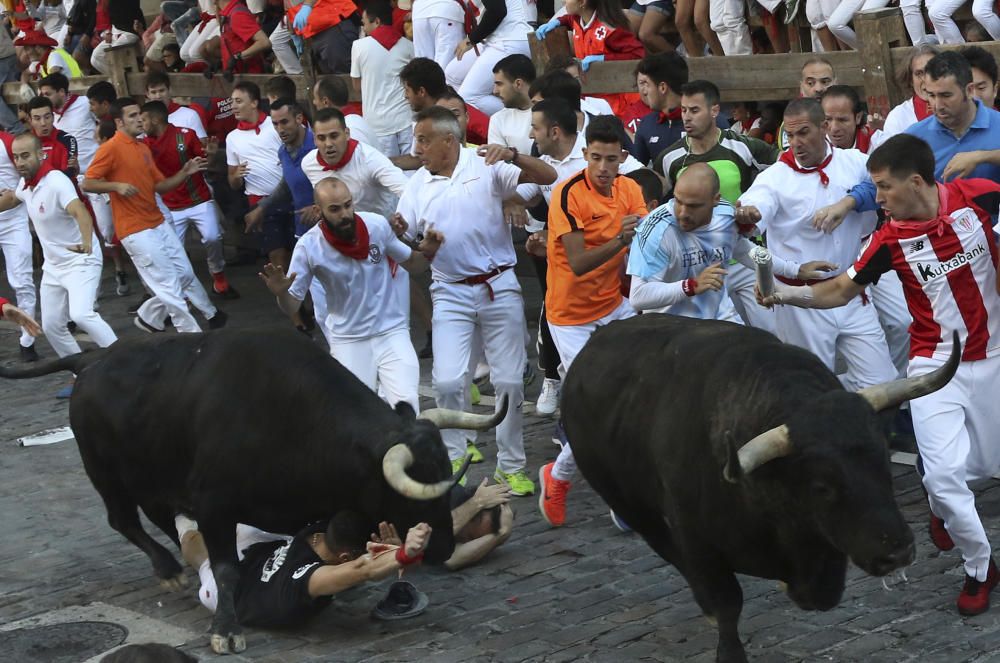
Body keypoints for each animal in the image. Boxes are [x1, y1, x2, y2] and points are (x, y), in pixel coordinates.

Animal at [0, 330, 508, 656]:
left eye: (444, 470)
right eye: (409, 493)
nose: (442, 546)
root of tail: (90, 362)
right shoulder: (215, 504)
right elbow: (226, 568)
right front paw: (225, 629)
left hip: (153, 475)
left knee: (159, 516)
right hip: (104, 471)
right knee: (123, 519)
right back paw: (168, 569)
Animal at [564, 316, 960, 663]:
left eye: (883, 461)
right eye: (821, 486)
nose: (898, 551)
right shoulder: (697, 543)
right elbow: (726, 604)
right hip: (631, 506)